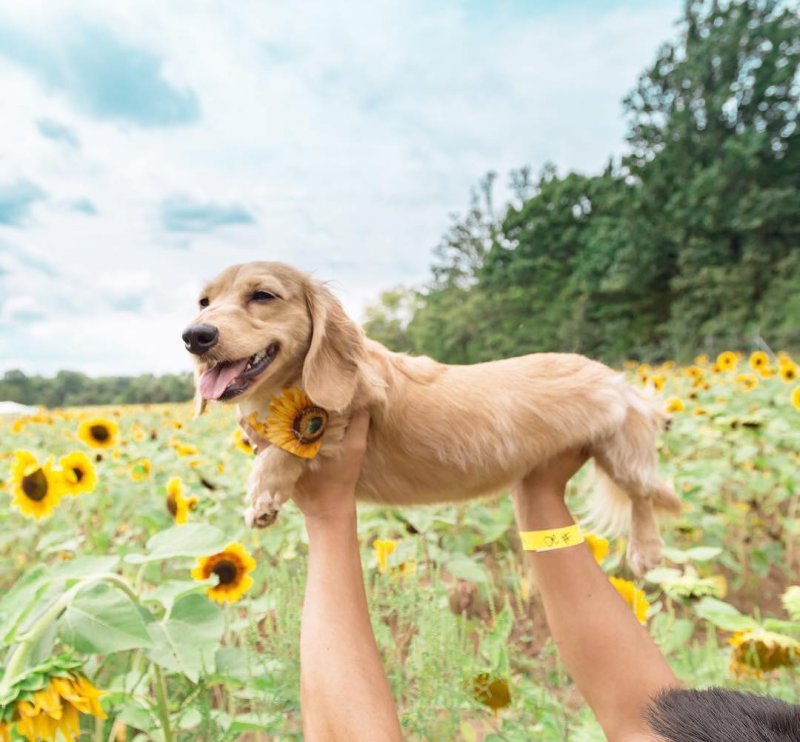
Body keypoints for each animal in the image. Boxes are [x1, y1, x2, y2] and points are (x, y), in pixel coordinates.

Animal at [184, 262, 680, 576]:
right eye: (204, 301)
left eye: (262, 295)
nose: (194, 336)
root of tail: (618, 379)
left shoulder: (351, 415)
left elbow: (287, 452)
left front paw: (262, 493)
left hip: (621, 454)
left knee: (644, 496)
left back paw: (646, 549)